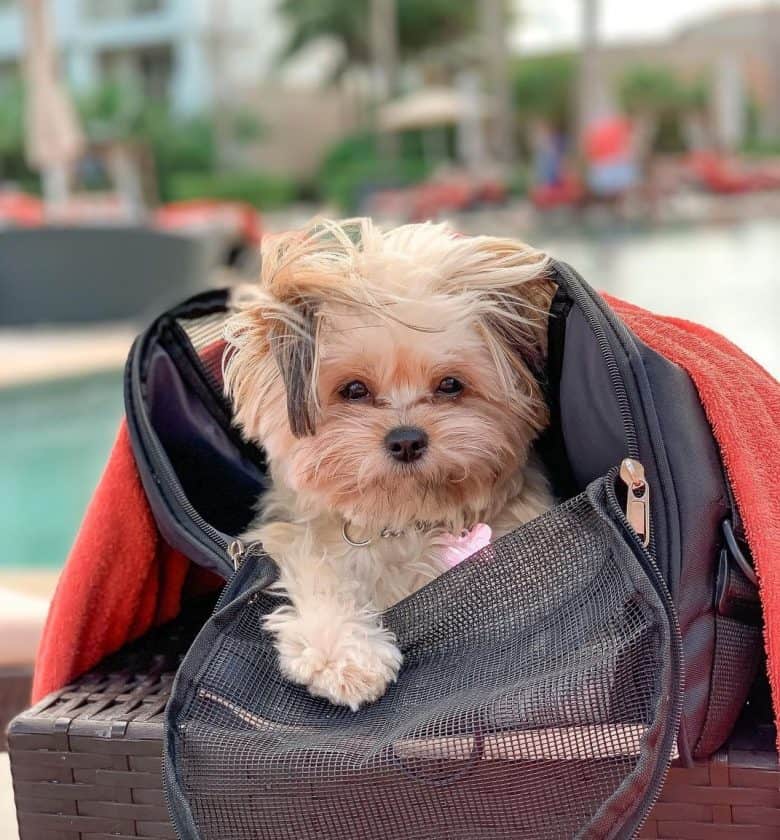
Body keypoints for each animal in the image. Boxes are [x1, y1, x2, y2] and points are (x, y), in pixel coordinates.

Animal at [222, 217, 556, 708]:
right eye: (354, 390)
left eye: (450, 384)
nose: (406, 440)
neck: (404, 521)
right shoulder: (292, 538)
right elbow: (317, 565)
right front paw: (346, 654)